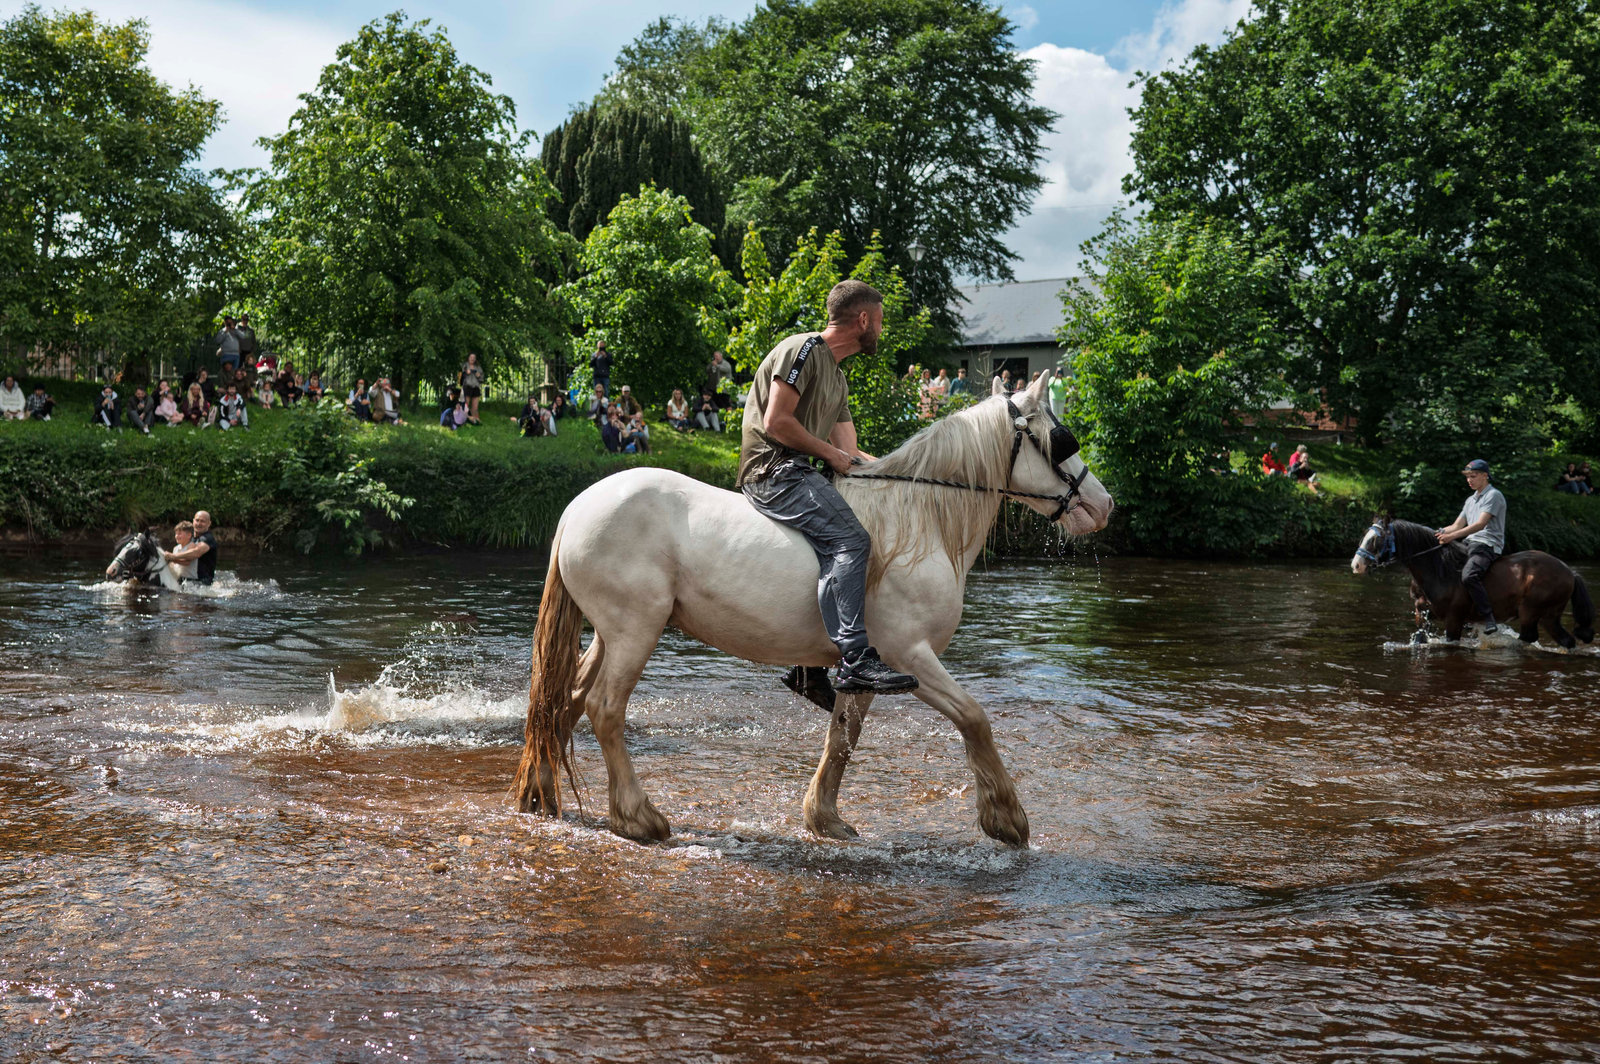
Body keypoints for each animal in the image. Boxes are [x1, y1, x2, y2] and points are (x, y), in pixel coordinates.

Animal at [511, 371, 1114, 846]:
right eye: (1061, 438)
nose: (1103, 504)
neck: (920, 522)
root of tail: (577, 508)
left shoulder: (866, 668)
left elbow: (842, 740)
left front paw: (824, 818)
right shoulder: (911, 655)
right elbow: (974, 718)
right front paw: (1006, 818)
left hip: (610, 633)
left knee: (565, 699)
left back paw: (540, 794)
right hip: (635, 629)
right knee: (605, 708)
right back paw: (637, 817)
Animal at [1351, 516, 1595, 646]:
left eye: (1376, 540)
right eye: (1364, 536)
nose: (1356, 565)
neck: (1437, 570)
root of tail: (1569, 571)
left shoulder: (1454, 619)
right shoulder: (1423, 614)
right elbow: (1420, 639)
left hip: (1532, 612)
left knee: (1528, 638)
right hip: (1549, 617)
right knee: (1566, 640)